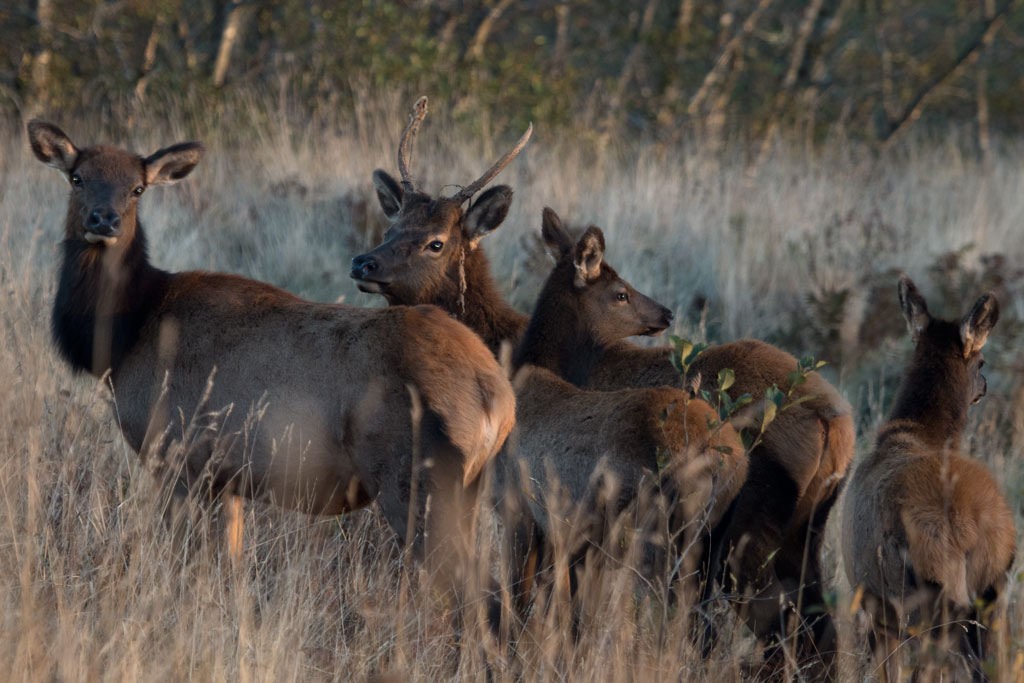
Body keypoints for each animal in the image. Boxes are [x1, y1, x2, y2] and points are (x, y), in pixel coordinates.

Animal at [27, 118, 516, 602]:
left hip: (415, 479)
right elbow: (231, 563)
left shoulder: (175, 454)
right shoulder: (226, 479)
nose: (103, 219)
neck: (127, 332)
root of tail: (496, 396)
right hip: (467, 489)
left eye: (137, 189)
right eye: (77, 177)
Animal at [352, 102, 856, 671]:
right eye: (393, 222)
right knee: (815, 625)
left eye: (436, 241)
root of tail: (836, 425)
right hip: (800, 532)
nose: (363, 262)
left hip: (743, 532)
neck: (506, 346)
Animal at [839, 274, 1015, 679]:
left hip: (928, 597)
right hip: (992, 594)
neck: (917, 433)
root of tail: (969, 531)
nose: (985, 385)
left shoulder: (875, 603)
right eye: (982, 361)